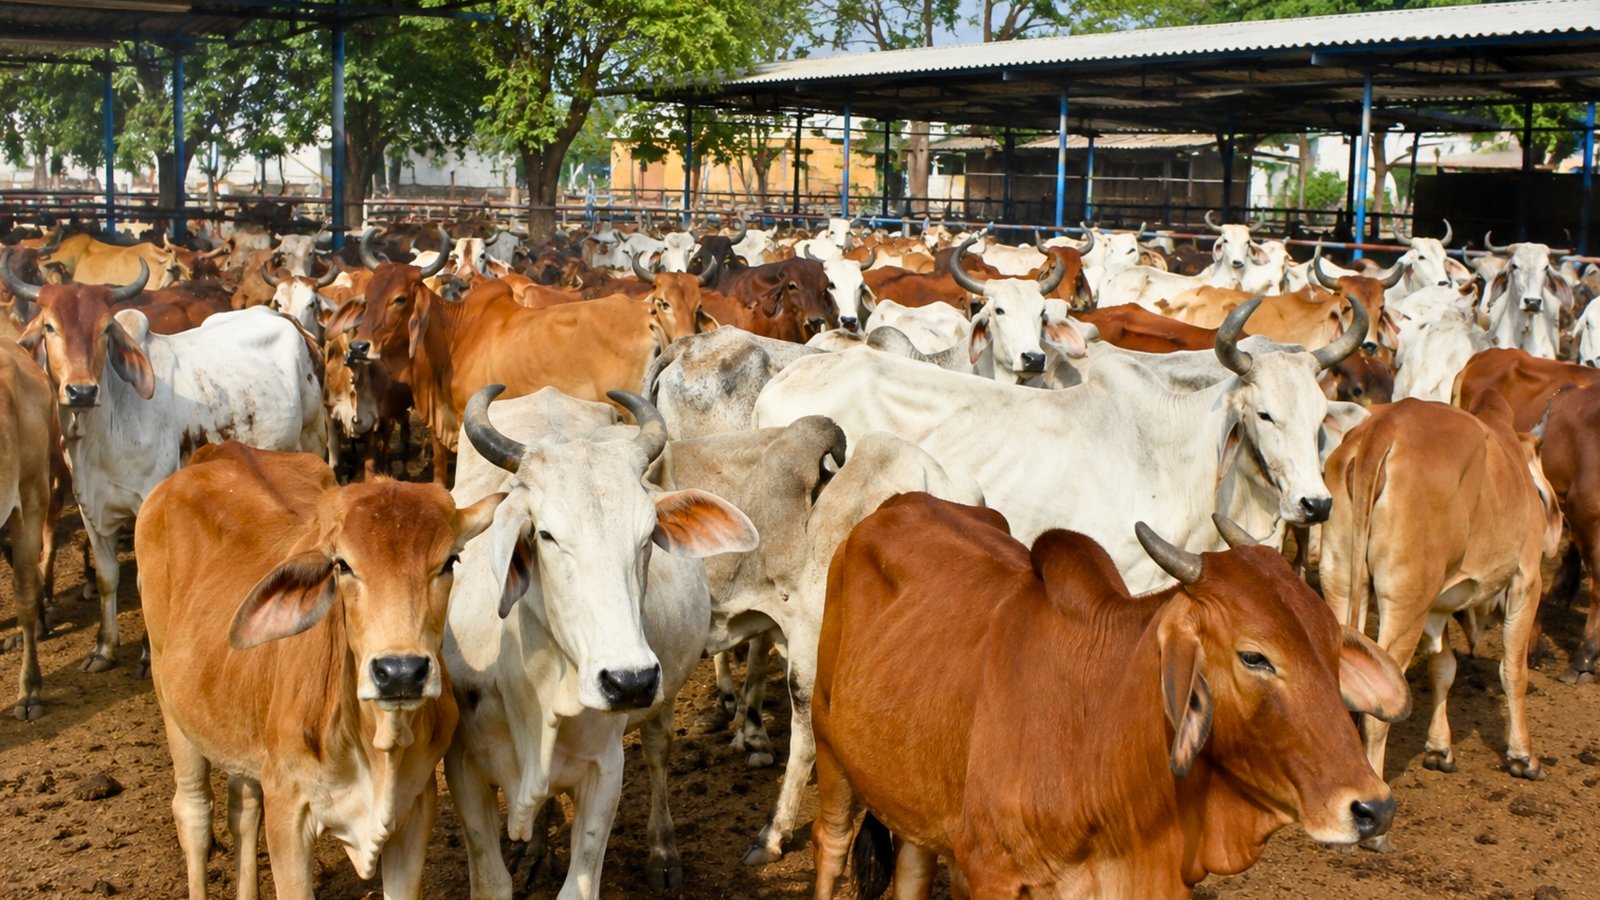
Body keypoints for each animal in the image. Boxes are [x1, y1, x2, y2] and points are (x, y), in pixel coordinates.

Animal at [3, 253, 326, 672]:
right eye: (49, 326)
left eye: (105, 329)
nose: (81, 391)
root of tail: (291, 322)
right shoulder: (91, 507)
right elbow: (107, 577)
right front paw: (104, 648)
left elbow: (146, 579)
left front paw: (145, 651)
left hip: (315, 437)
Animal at [137, 441, 503, 898]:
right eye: (342, 565)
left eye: (450, 561)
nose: (400, 671)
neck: (377, 745)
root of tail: (219, 448)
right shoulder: (288, 813)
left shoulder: (416, 810)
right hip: (171, 705)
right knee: (194, 813)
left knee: (243, 806)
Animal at [442, 386, 757, 898]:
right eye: (546, 534)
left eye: (648, 536)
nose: (629, 681)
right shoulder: (464, 768)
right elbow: (492, 882)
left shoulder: (605, 770)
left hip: (664, 700)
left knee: (657, 751)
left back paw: (663, 853)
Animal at [811, 493, 1406, 898]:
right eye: (1254, 657)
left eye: (1331, 647)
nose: (1373, 808)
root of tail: (895, 504)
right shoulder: (989, 874)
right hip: (828, 744)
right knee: (831, 843)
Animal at [1320, 398, 1560, 823]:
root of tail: (1383, 428)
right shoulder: (1526, 580)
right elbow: (1514, 671)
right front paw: (1522, 757)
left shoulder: (1438, 606)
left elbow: (1443, 669)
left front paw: (1438, 748)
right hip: (1405, 604)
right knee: (1380, 706)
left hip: (1342, 584)